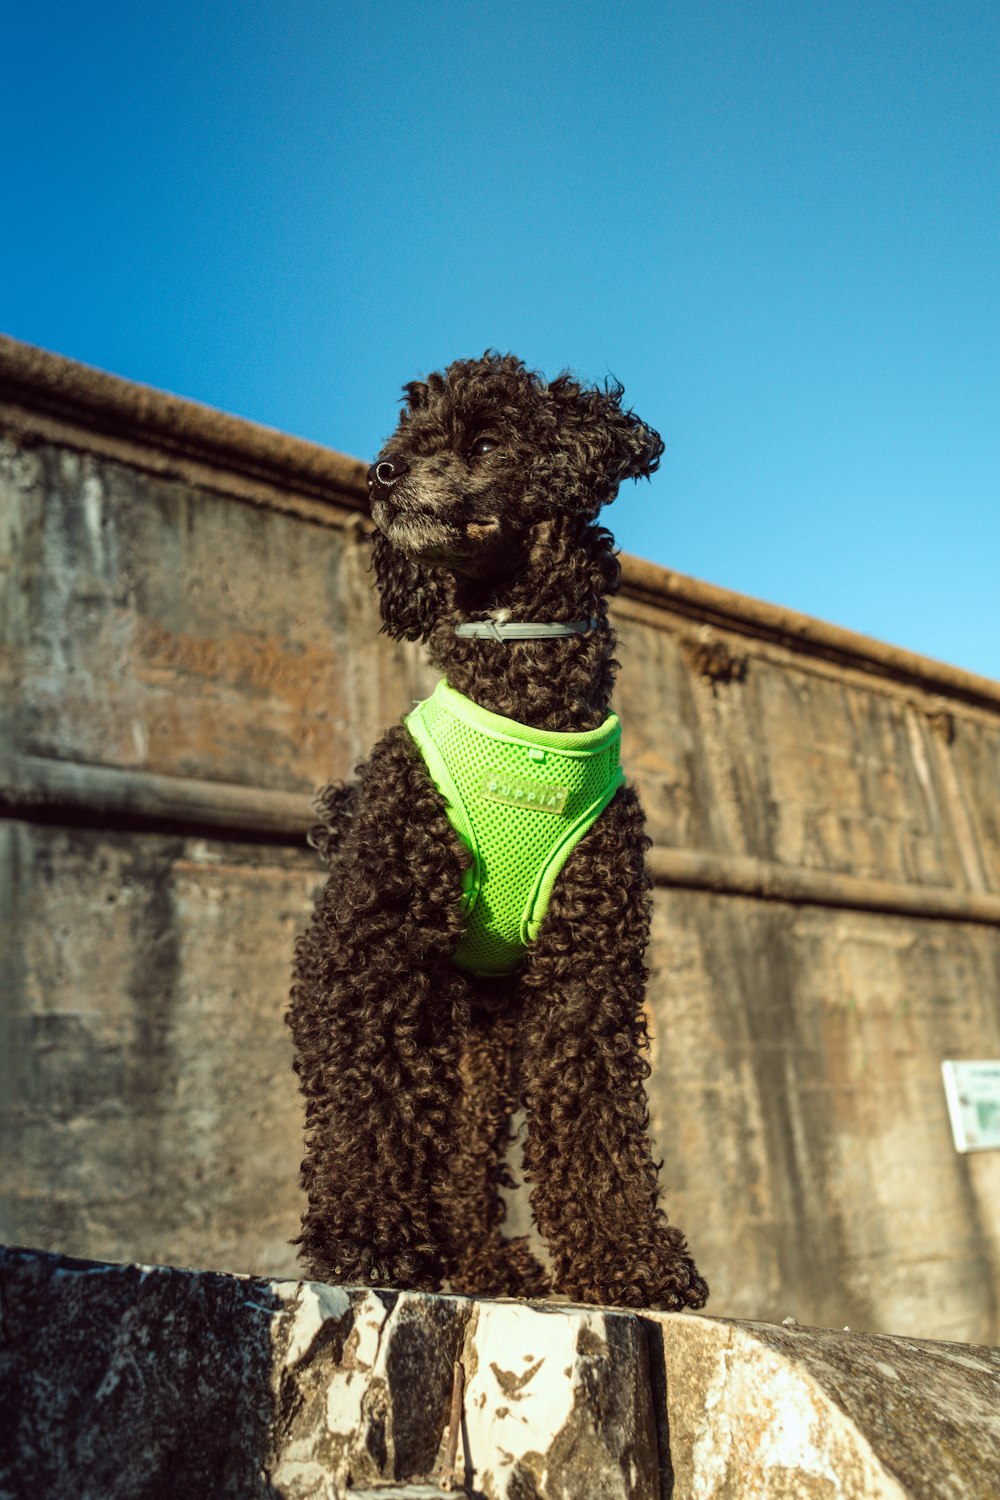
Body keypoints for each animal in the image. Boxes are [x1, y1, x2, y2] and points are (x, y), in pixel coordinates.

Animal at [287, 354, 710, 1314]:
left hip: (481, 1051)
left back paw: (477, 1261)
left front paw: (627, 1258)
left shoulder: (590, 969)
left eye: (484, 441)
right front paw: (366, 1238)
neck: (524, 704)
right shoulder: (370, 948)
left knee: (465, 1156)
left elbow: (595, 1119)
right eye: (404, 437)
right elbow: (369, 1104)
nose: (382, 474)